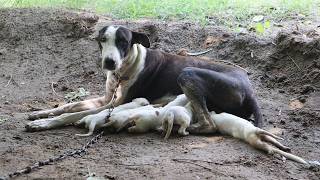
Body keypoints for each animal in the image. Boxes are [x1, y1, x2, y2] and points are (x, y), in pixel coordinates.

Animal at [26, 25, 262, 132]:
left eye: (123, 41)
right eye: (103, 40)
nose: (109, 62)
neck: (124, 70)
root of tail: (250, 90)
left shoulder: (113, 104)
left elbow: (72, 114)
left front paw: (44, 123)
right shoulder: (107, 99)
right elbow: (70, 106)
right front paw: (41, 113)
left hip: (188, 73)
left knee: (209, 124)